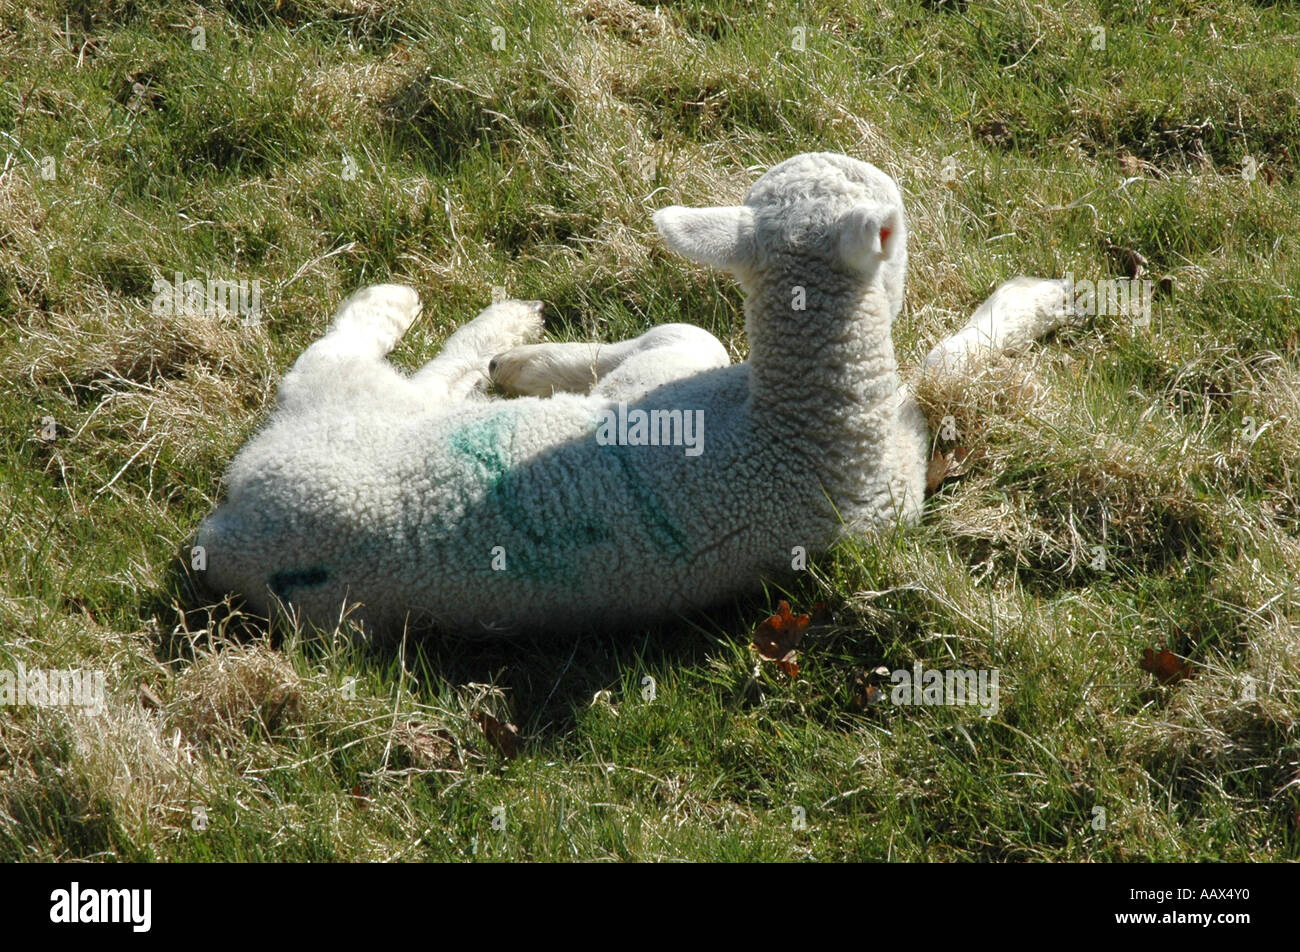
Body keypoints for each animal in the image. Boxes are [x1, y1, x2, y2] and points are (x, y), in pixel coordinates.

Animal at [189, 152, 1066, 634]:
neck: (806, 430)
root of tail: (228, 532)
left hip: (348, 415)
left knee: (370, 367)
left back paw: (470, 334)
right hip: (342, 409)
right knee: (344, 355)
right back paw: (445, 321)